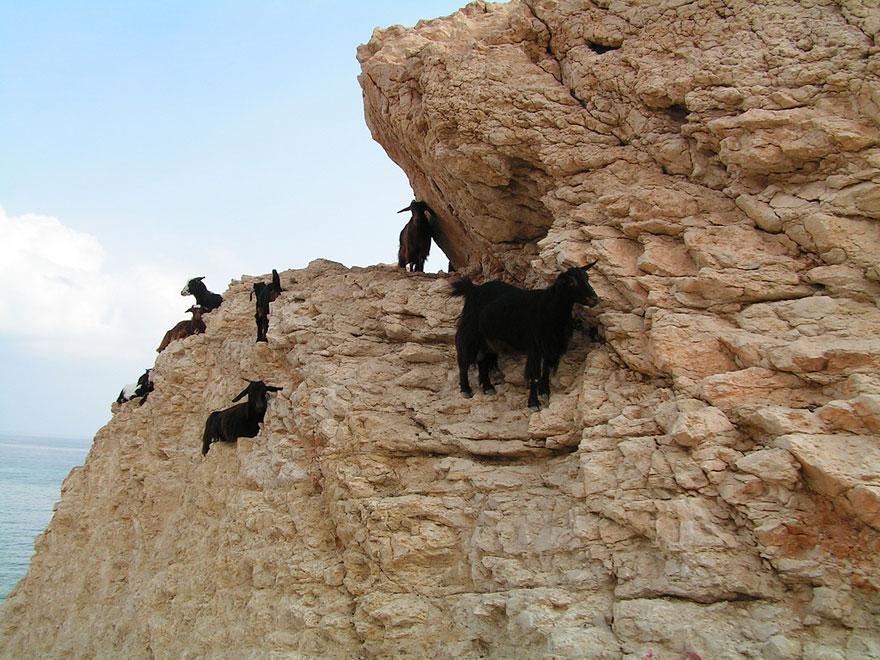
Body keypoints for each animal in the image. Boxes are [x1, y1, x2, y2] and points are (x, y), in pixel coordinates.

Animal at [450, 262, 600, 408]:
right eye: (571, 282)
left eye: (587, 278)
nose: (594, 299)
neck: (549, 308)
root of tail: (473, 289)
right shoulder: (535, 346)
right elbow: (535, 374)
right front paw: (534, 403)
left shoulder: (549, 346)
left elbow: (546, 370)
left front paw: (544, 393)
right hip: (469, 331)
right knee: (463, 359)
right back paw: (465, 390)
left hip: (487, 339)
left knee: (483, 359)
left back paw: (488, 388)